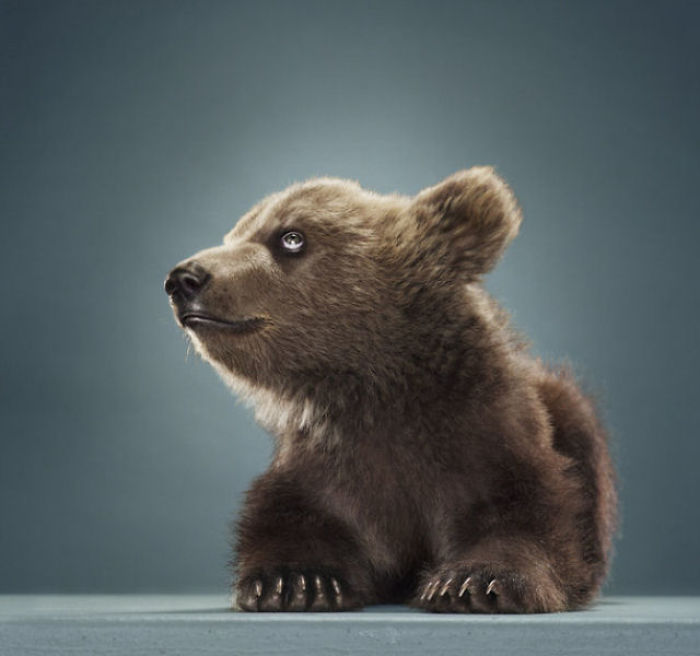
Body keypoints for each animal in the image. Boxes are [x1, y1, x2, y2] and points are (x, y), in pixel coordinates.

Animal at [165, 167, 617, 613]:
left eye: (291, 237)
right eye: (235, 234)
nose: (183, 278)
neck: (376, 386)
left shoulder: (488, 441)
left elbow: (527, 516)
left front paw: (473, 582)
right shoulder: (326, 463)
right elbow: (291, 517)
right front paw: (298, 581)